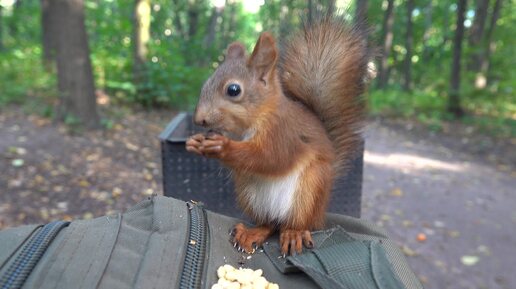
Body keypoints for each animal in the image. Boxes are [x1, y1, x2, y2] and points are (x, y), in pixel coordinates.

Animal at [185, 15, 370, 254]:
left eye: (233, 90)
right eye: (205, 83)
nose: (199, 119)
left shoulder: (284, 133)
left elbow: (271, 158)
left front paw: (222, 147)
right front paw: (195, 142)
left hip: (309, 191)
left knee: (294, 223)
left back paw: (294, 233)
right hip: (249, 194)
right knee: (269, 224)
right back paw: (252, 232)